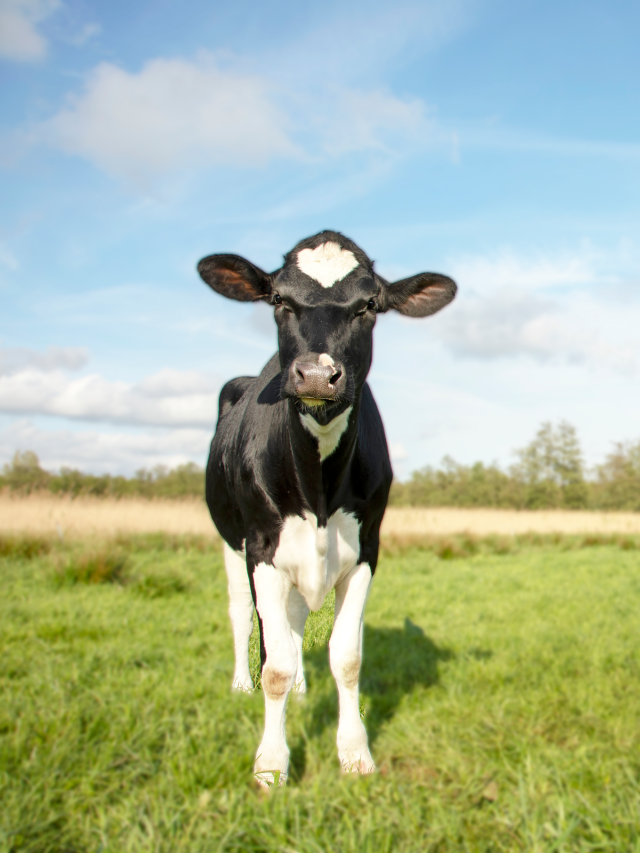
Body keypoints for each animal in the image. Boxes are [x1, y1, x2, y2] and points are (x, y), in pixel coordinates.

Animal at [197, 231, 456, 787]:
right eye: (278, 299)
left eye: (370, 306)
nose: (317, 375)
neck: (317, 488)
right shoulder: (262, 548)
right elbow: (272, 663)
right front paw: (271, 765)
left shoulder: (366, 550)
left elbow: (347, 657)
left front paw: (355, 753)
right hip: (231, 540)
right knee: (243, 615)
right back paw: (241, 684)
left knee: (294, 621)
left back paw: (300, 688)